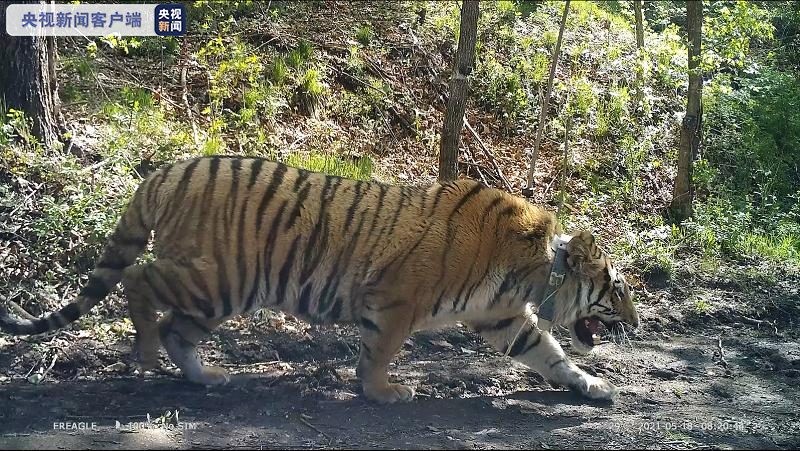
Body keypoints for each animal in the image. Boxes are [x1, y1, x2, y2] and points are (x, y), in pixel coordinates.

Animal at [0, 155, 636, 402]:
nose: (634, 323)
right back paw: (146, 352)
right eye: (618, 289)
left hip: (219, 294)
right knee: (137, 279)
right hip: (215, 278)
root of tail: (169, 170)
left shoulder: (503, 319)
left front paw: (591, 385)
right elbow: (381, 351)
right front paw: (382, 392)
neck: (534, 273)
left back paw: (205, 376)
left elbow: (551, 354)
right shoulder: (397, 301)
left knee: (178, 325)